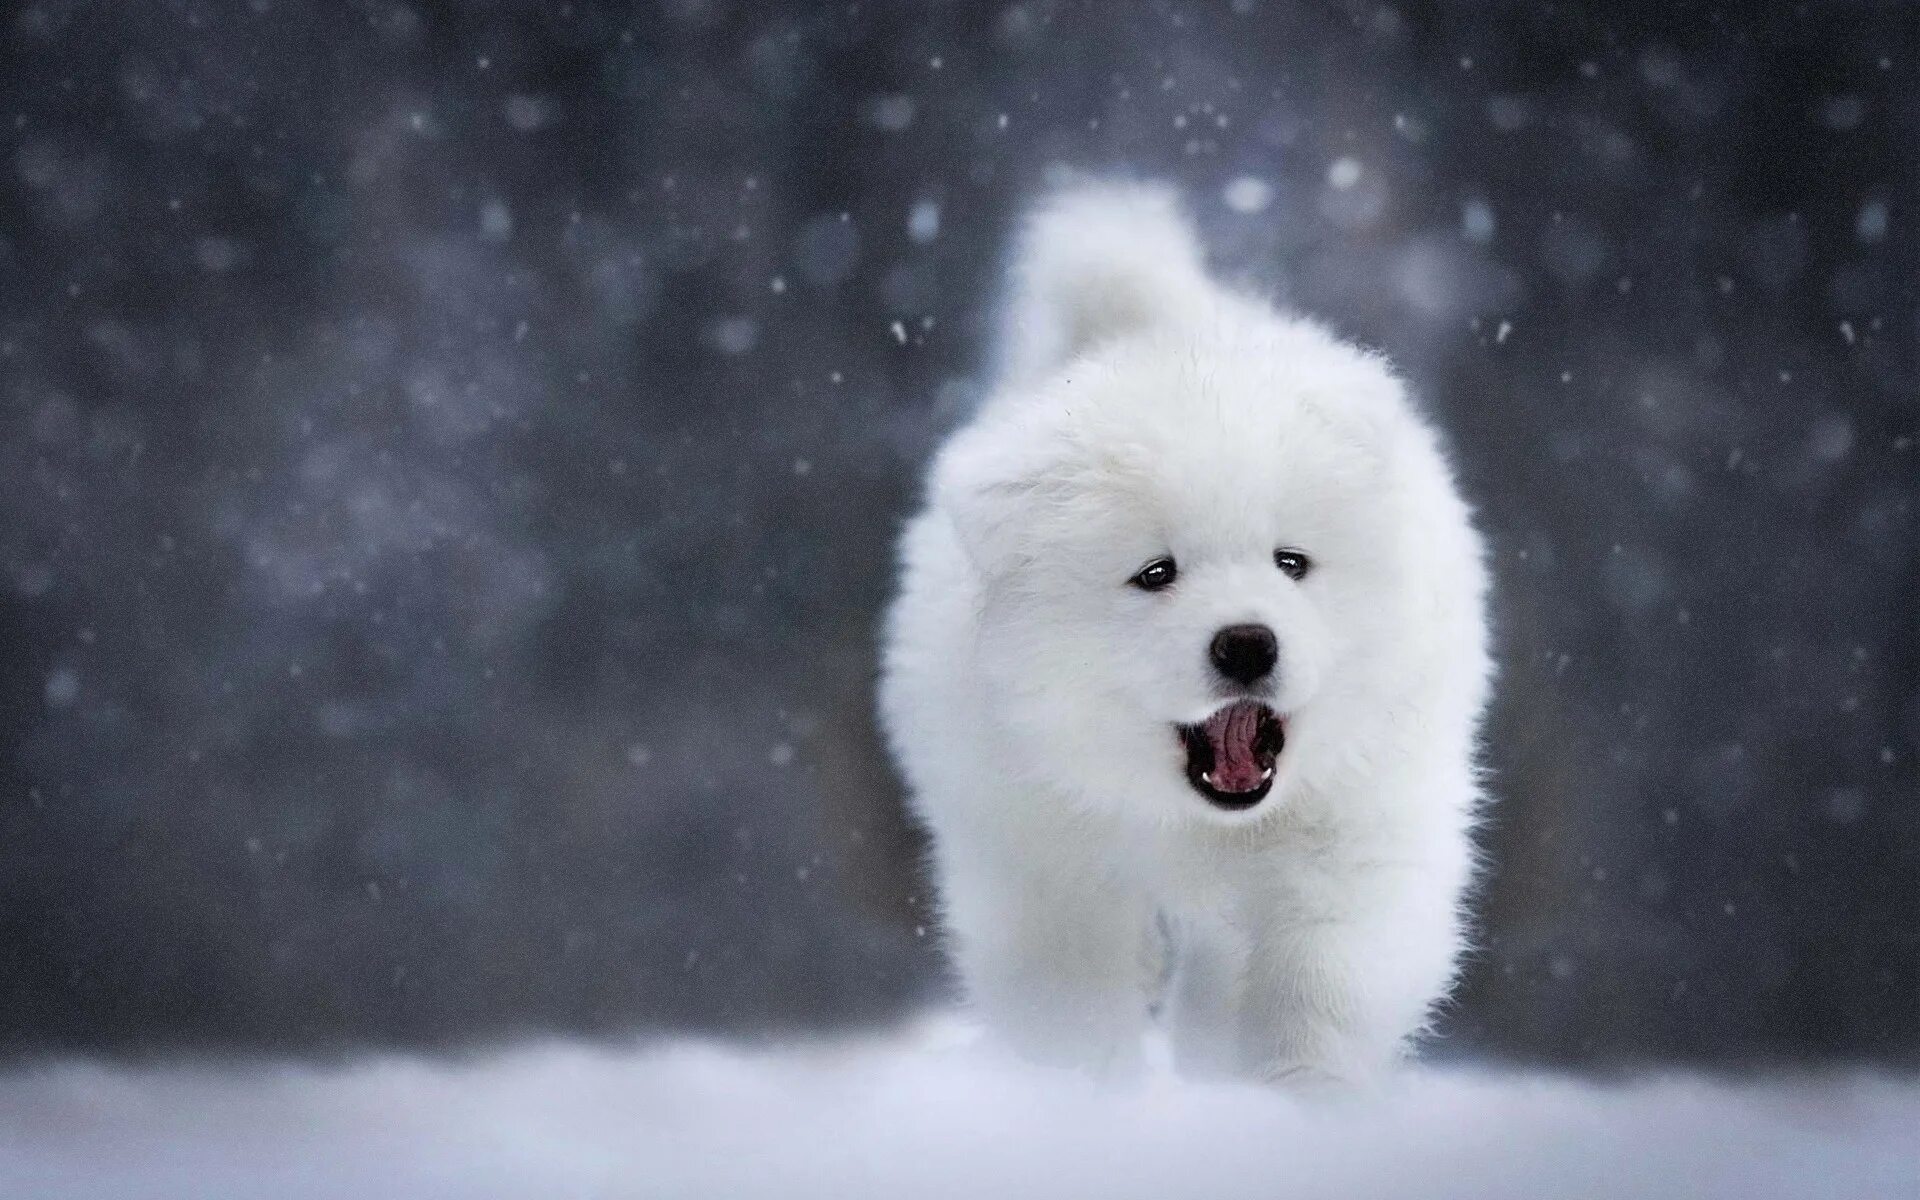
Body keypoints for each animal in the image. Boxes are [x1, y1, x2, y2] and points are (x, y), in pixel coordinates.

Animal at [879, 180, 1489, 1082]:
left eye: (1291, 562)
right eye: (1156, 572)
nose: (1247, 642)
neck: (1194, 823)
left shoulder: (1356, 832)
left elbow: (1320, 989)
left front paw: (1294, 1094)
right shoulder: (1040, 859)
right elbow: (1072, 1008)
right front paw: (1086, 1096)